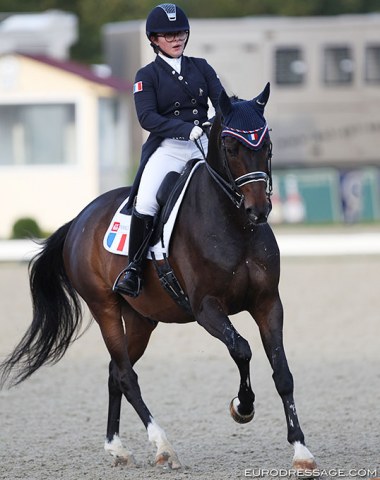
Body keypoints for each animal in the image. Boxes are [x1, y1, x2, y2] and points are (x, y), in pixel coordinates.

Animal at [0, 84, 316, 470]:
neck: (235, 225)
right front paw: (242, 407)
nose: (259, 210)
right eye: (230, 146)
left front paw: (301, 451)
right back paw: (163, 446)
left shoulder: (268, 303)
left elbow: (282, 372)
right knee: (126, 375)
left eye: (266, 144)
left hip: (141, 319)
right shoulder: (206, 309)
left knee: (114, 373)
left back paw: (117, 448)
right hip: (104, 308)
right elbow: (241, 349)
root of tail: (79, 220)